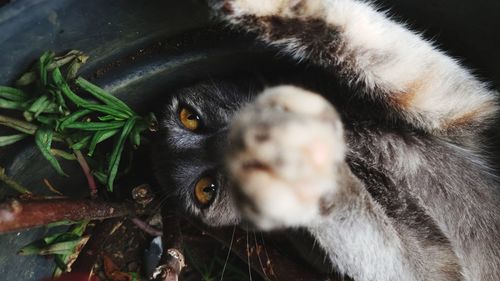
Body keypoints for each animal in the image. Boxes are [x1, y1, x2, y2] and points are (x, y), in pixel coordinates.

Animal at [152, 0, 500, 280]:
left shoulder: (463, 112)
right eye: (205, 190)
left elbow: (359, 43)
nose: (232, 143)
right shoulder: (425, 269)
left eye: (189, 117)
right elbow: (363, 224)